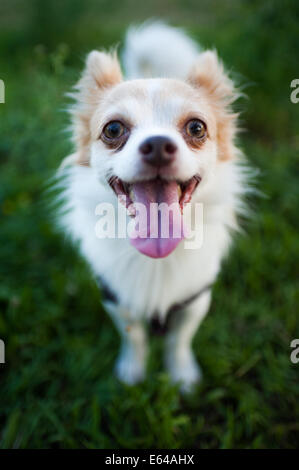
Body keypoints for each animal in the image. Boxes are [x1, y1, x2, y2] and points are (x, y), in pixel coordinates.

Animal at [58, 22, 251, 392]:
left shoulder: (195, 302)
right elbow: (133, 336)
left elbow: (178, 340)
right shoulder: (118, 299)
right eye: (113, 129)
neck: (157, 259)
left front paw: (182, 375)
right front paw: (132, 370)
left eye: (196, 127)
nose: (158, 144)